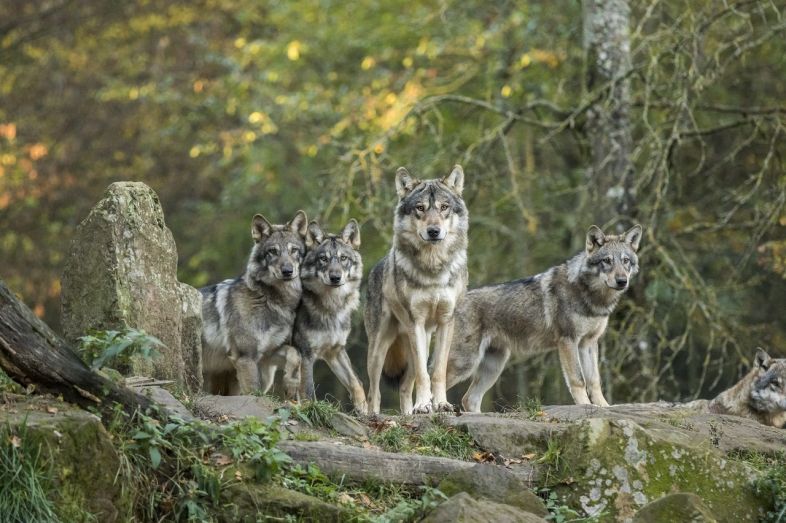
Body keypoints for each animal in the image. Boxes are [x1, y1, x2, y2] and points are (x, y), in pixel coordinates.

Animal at [201, 211, 308, 396]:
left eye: (294, 250)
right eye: (273, 251)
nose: (288, 271)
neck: (271, 299)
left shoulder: (268, 355)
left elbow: (295, 354)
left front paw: (291, 384)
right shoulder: (246, 356)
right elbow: (253, 391)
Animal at [294, 219, 368, 412]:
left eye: (343, 258)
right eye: (323, 259)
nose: (335, 277)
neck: (331, 308)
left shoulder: (335, 351)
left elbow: (356, 382)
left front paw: (364, 409)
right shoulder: (306, 354)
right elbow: (308, 391)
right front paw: (310, 410)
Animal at [362, 166, 466, 416]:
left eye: (444, 207)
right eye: (420, 208)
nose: (434, 231)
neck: (433, 269)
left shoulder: (446, 321)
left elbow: (437, 372)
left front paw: (440, 404)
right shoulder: (415, 321)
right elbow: (423, 374)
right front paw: (424, 405)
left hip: (420, 341)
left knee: (404, 387)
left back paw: (409, 412)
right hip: (379, 349)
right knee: (374, 392)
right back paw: (375, 415)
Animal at [444, 225, 640, 414]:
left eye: (625, 261)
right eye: (606, 260)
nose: (622, 281)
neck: (592, 297)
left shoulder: (588, 343)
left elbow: (594, 380)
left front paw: (605, 408)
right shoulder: (568, 341)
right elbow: (578, 380)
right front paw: (585, 406)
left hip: (494, 367)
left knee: (469, 399)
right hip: (466, 363)